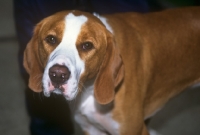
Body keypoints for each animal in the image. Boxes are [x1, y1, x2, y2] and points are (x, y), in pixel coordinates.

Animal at [23, 6, 200, 135]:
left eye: (87, 45)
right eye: (51, 39)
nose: (58, 75)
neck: (89, 90)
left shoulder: (134, 131)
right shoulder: (91, 129)